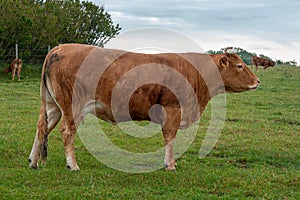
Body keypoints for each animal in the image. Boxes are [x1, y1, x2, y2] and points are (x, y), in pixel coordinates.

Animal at [28, 43, 260, 170]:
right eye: (240, 66)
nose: (258, 81)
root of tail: (59, 48)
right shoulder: (172, 109)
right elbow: (170, 137)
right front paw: (170, 164)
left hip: (52, 106)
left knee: (41, 128)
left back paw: (33, 161)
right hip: (71, 106)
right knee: (66, 132)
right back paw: (72, 165)